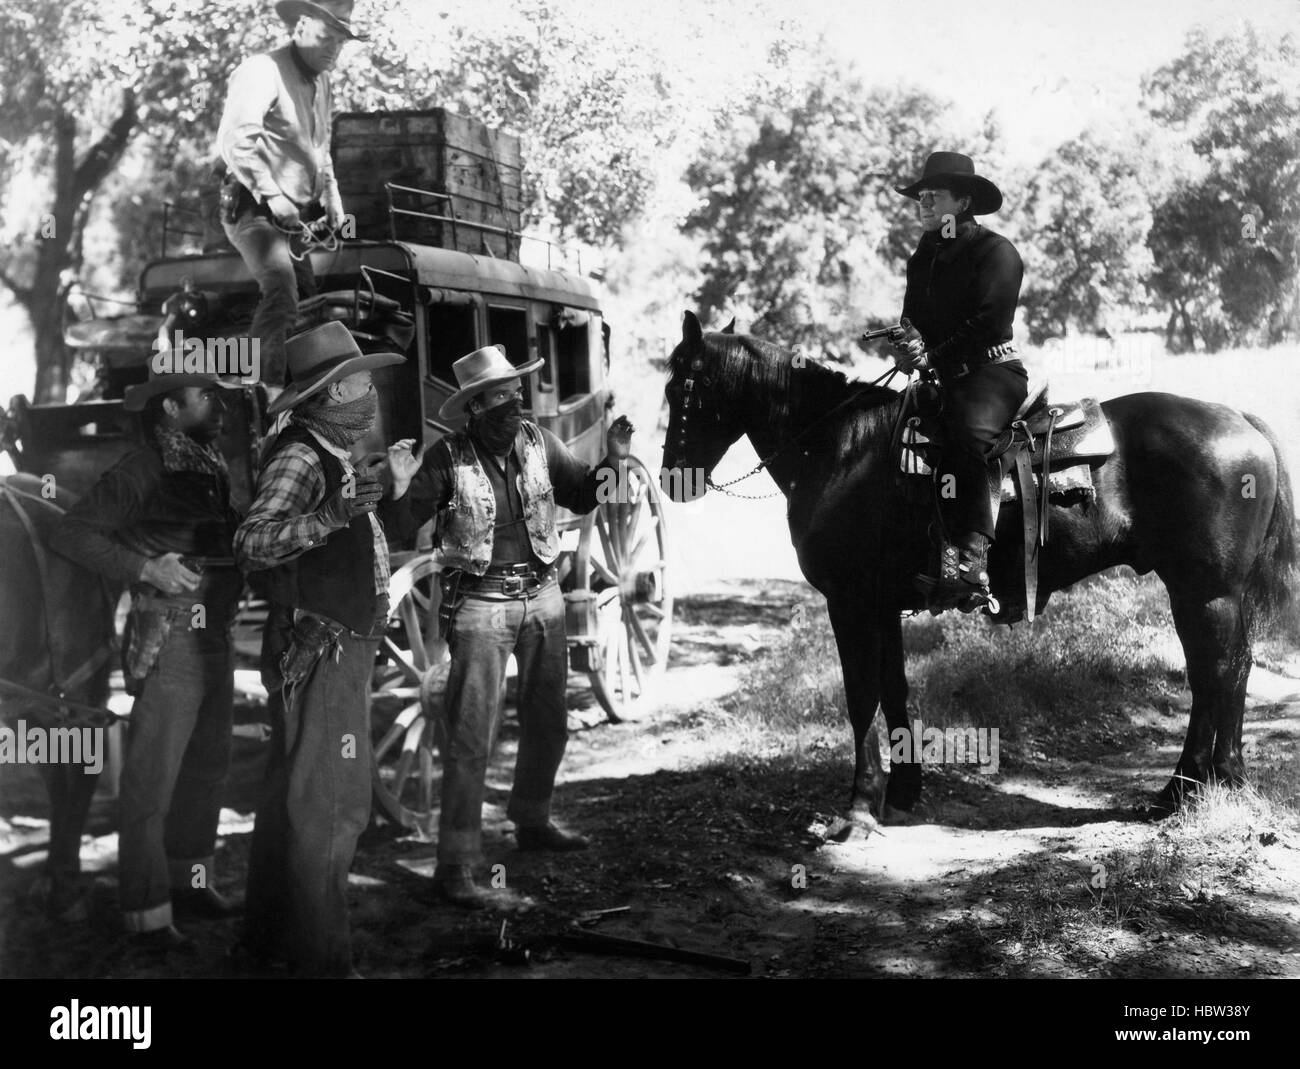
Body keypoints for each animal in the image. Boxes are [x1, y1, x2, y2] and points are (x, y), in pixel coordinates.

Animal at [665, 313, 1294, 842]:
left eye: (681, 390)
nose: (674, 477)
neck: (843, 449)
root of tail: (1241, 422)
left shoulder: (850, 603)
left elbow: (861, 698)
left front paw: (859, 809)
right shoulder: (883, 607)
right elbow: (894, 690)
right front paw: (903, 792)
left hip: (1205, 592)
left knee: (1218, 672)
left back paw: (1202, 783)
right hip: (1204, 593)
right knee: (1224, 672)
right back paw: (1197, 786)